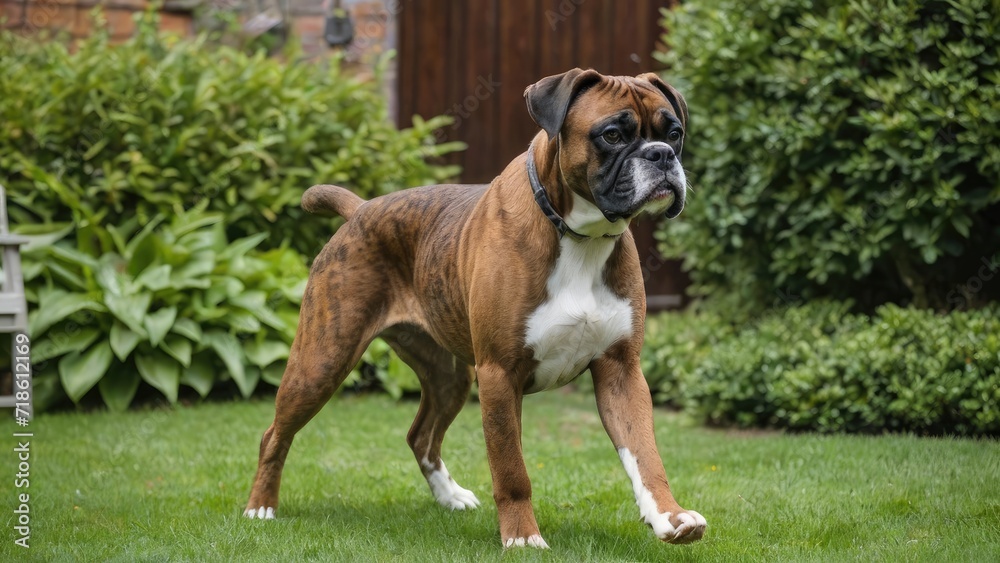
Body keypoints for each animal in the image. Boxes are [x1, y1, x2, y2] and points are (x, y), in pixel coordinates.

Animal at [245, 68, 708, 548]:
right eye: (612, 135)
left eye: (674, 133)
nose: (661, 155)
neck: (580, 236)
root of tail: (361, 210)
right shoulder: (500, 374)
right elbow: (511, 469)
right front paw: (522, 538)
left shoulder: (621, 372)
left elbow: (645, 456)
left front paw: (669, 516)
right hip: (321, 362)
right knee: (273, 435)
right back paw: (261, 507)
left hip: (450, 377)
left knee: (420, 436)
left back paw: (450, 496)